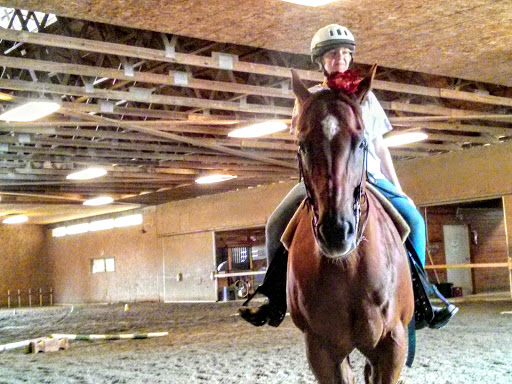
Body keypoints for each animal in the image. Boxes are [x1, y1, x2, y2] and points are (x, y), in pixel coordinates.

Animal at [286, 69, 414, 384]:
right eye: (303, 145)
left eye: (361, 143)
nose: (335, 233)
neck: (349, 266)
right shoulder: (320, 350)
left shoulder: (393, 344)